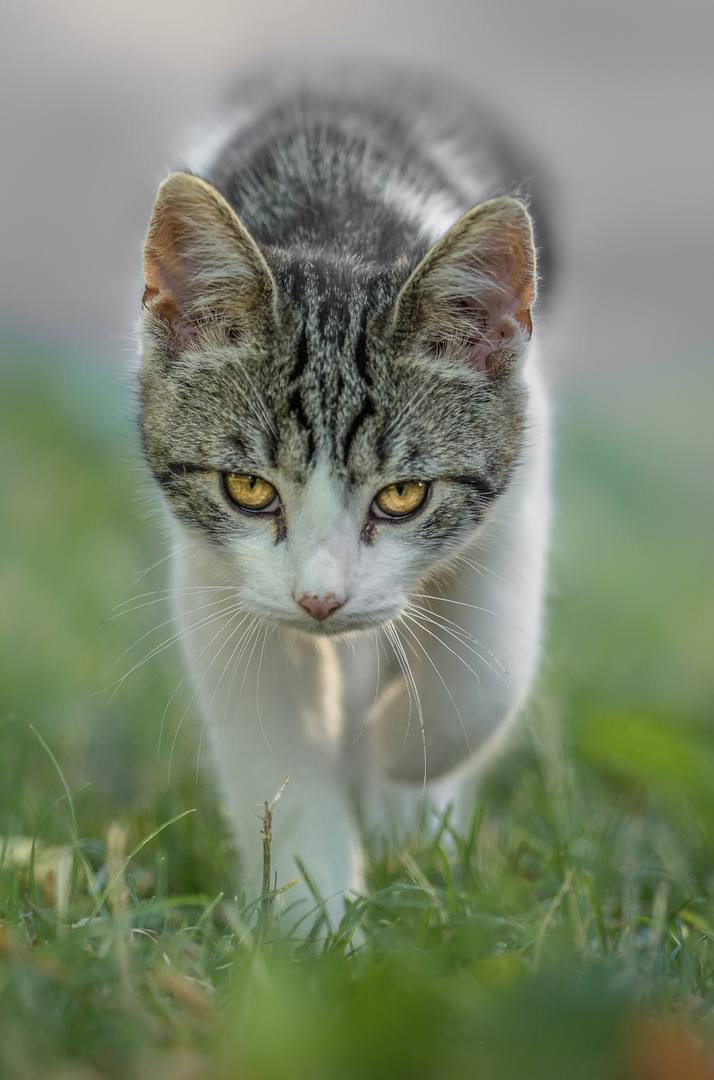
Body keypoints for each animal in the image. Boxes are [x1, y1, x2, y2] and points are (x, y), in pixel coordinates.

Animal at [137, 56, 550, 920]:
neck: (336, 216)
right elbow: (273, 750)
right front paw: (313, 924)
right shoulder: (218, 575)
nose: (321, 602)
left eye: (402, 496)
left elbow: (487, 675)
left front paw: (402, 756)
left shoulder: (523, 462)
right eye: (247, 487)